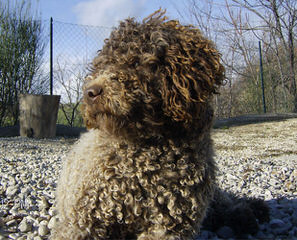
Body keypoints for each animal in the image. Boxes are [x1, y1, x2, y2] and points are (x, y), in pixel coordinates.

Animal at [51, 9, 268, 240]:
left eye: (136, 62)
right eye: (102, 65)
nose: (90, 93)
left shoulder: (169, 225)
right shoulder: (80, 222)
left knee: (225, 204)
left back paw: (247, 214)